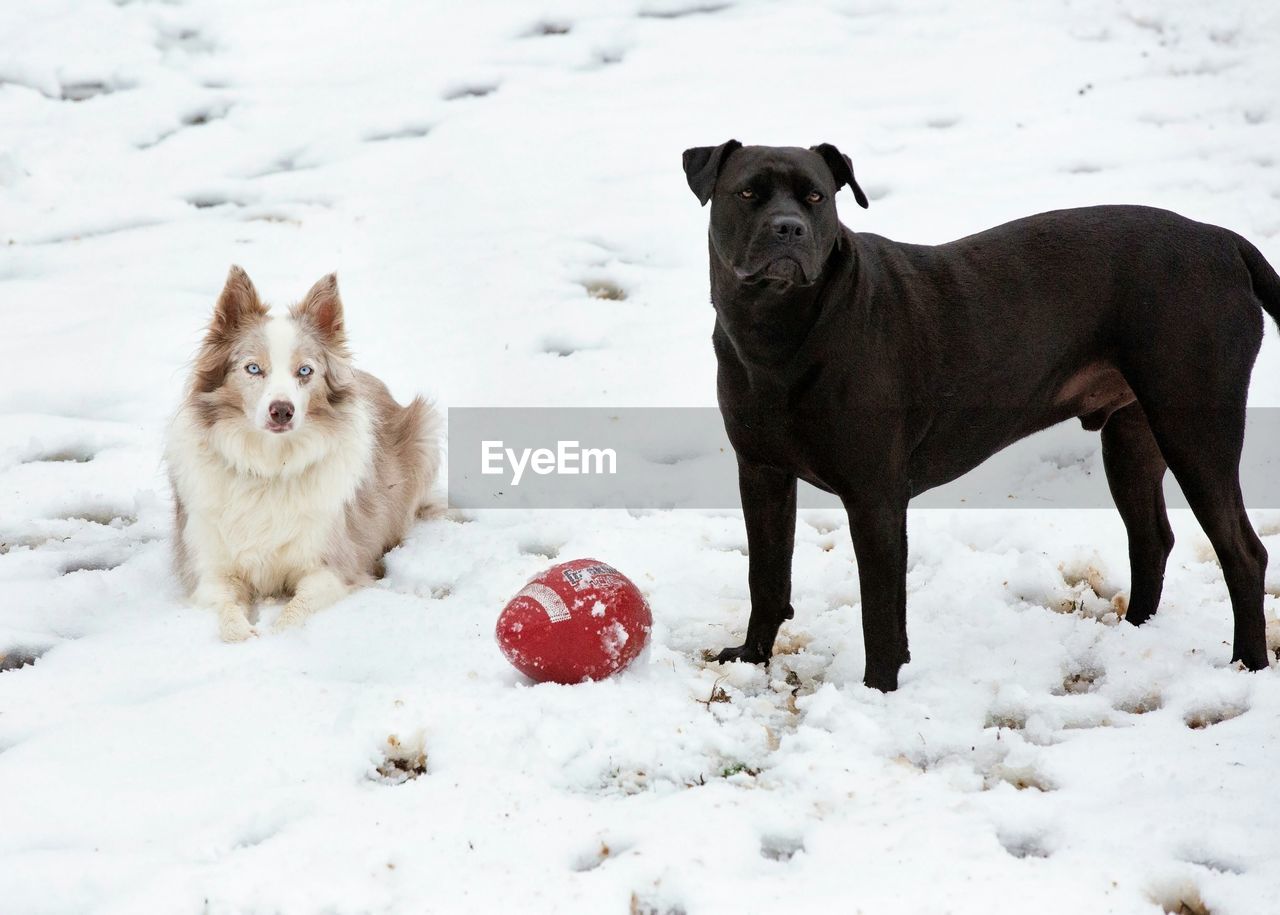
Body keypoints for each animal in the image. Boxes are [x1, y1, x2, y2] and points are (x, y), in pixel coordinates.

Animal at [170, 268, 440, 639]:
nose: (282, 411)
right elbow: (227, 611)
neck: (270, 464)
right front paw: (242, 633)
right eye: (253, 369)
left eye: (305, 371)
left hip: (425, 431)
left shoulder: (332, 566)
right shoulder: (210, 570)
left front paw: (279, 633)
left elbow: (296, 608)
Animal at [686, 139, 1280, 691]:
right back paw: (1135, 631)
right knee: (1152, 538)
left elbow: (880, 610)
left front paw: (878, 689)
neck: (776, 332)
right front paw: (751, 658)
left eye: (816, 197)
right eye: (747, 194)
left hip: (1196, 433)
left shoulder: (874, 495)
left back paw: (1247, 665)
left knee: (1243, 553)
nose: (788, 229)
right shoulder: (761, 472)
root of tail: (1224, 241)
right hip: (1133, 440)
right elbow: (766, 577)